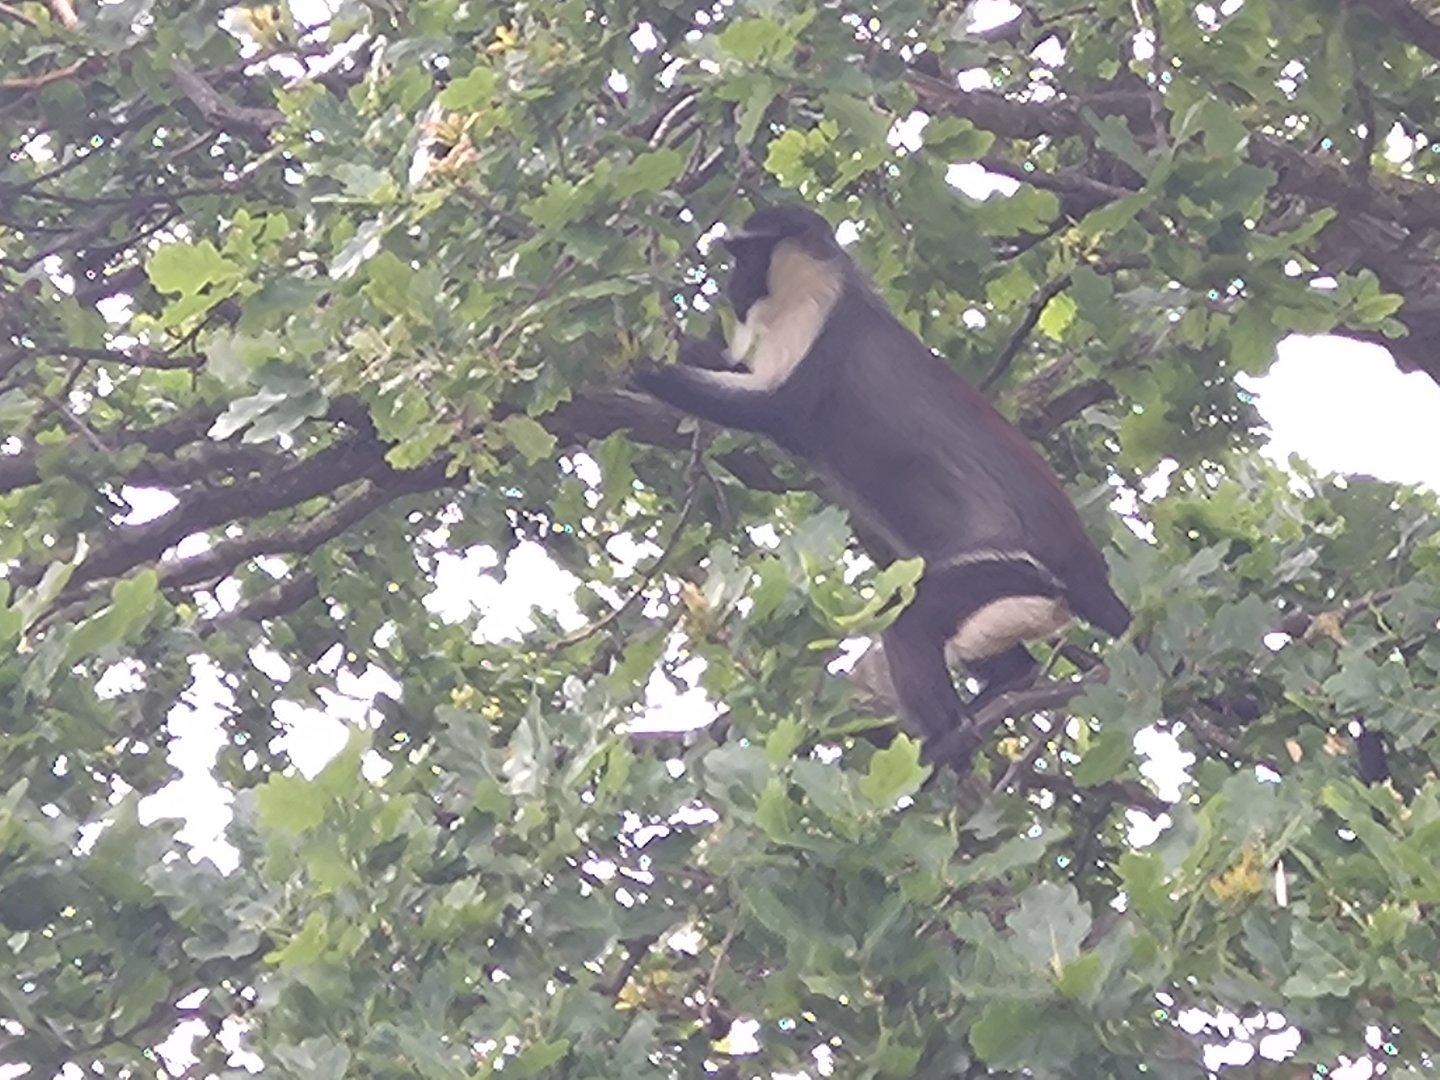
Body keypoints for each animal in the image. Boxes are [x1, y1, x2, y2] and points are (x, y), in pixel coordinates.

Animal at [632, 204, 1130, 766]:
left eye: (747, 254)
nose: (732, 290)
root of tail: (1087, 571)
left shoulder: (815, 321)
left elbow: (773, 409)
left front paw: (638, 366)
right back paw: (1006, 685)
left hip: (1009, 573)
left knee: (911, 617)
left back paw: (945, 743)